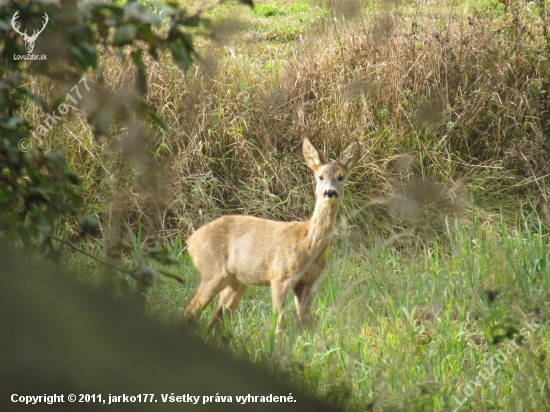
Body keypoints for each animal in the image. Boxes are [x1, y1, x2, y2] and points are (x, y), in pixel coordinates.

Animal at [185, 138, 362, 334]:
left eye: (341, 177)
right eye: (320, 176)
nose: (330, 192)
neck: (307, 244)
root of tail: (191, 240)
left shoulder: (308, 282)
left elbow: (306, 324)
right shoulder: (279, 276)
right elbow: (279, 322)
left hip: (237, 281)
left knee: (216, 321)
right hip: (213, 271)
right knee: (191, 310)